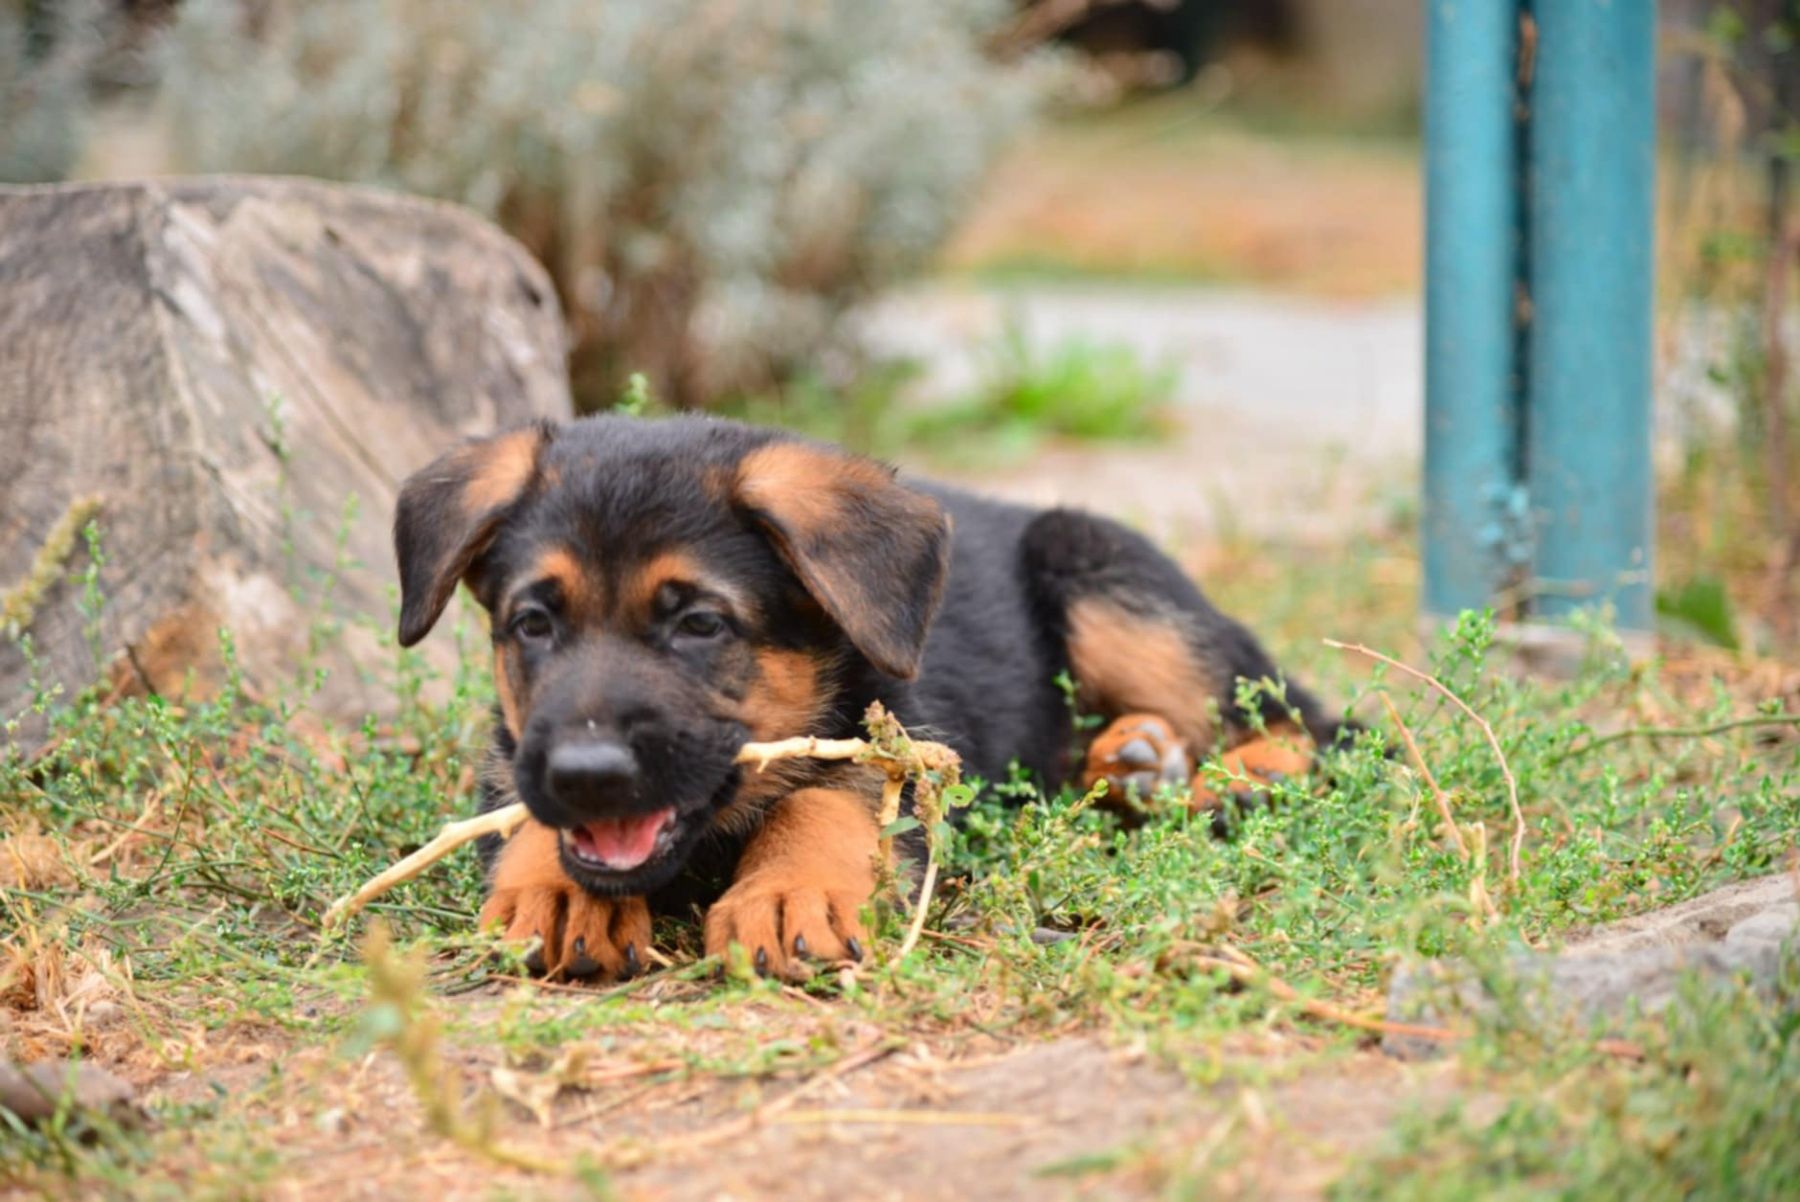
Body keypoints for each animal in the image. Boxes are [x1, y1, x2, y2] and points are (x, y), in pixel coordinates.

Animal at [397, 417, 1353, 978]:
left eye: (701, 624)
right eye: (532, 624)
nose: (587, 776)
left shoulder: (897, 734)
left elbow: (828, 795)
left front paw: (791, 889)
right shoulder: (516, 746)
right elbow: (512, 806)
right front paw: (553, 886)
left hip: (1107, 586)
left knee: (1311, 718)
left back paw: (1235, 778)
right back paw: (1134, 763)